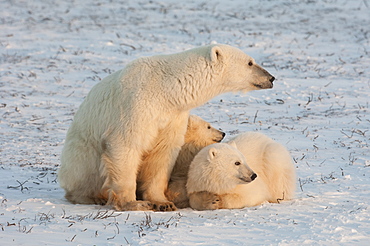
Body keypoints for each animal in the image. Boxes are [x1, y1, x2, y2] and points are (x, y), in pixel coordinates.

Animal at [56, 43, 274, 210]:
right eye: (250, 62)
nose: (271, 78)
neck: (166, 89)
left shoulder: (172, 116)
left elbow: (163, 152)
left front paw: (162, 202)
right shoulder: (135, 105)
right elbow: (126, 145)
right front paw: (134, 204)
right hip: (81, 153)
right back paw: (92, 196)